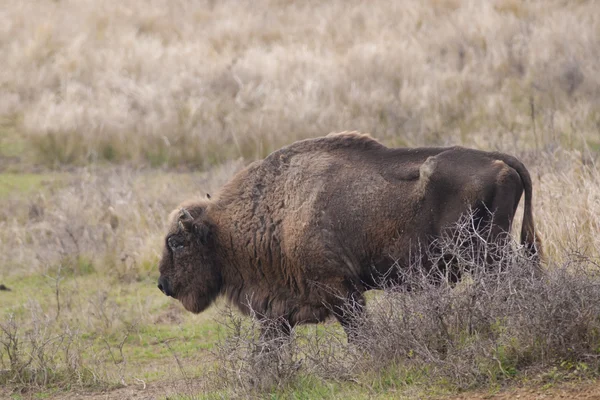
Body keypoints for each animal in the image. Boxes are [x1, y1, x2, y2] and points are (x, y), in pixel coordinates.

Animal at [157, 133, 540, 340]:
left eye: (176, 242)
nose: (163, 284)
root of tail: (499, 161)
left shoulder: (341, 291)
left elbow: (359, 333)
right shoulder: (277, 312)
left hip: (487, 255)